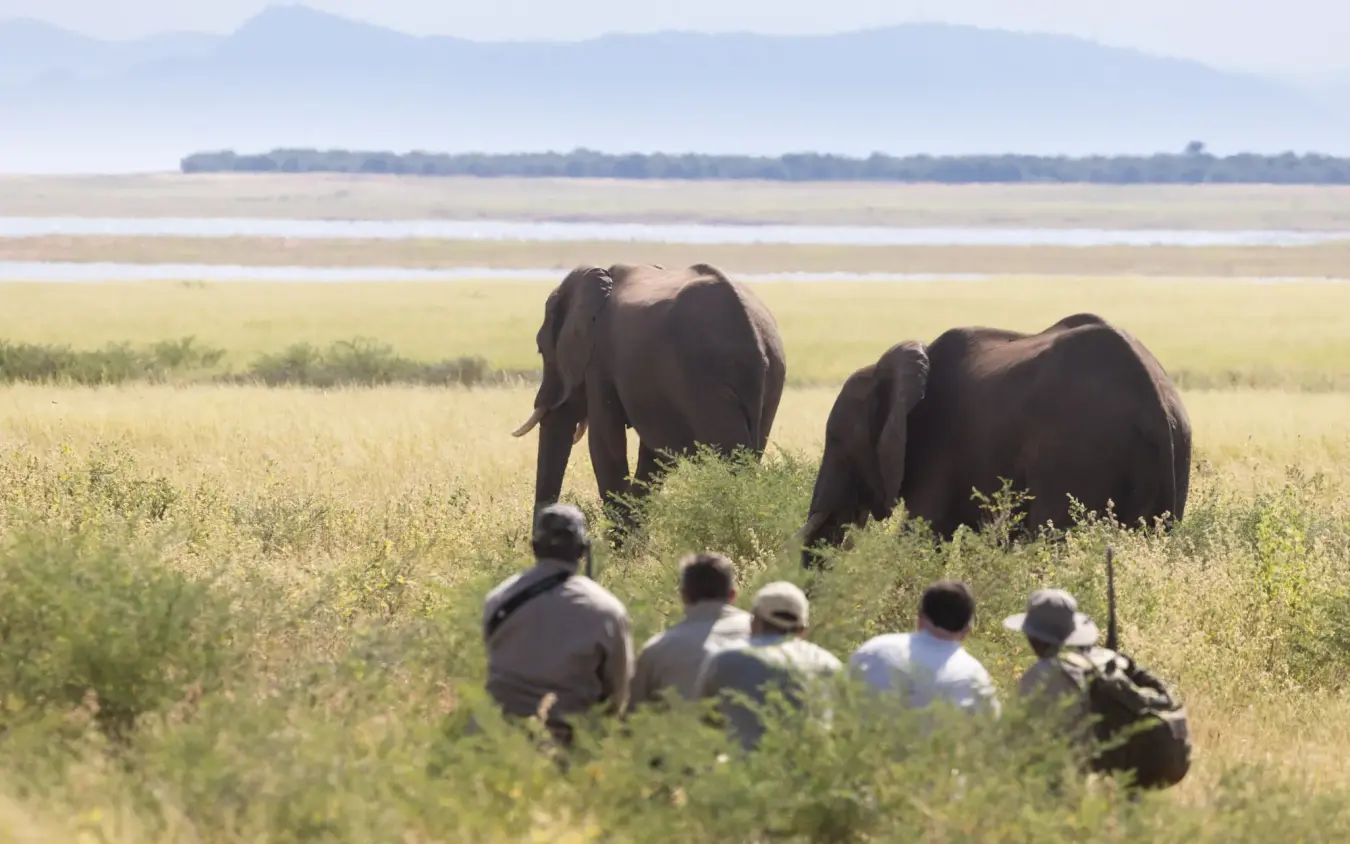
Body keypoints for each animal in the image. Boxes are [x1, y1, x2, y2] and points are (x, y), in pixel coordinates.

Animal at [511, 262, 787, 536]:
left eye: (541, 350)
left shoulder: (599, 361)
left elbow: (605, 443)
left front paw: (620, 544)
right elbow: (653, 457)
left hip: (706, 381)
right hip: (768, 381)